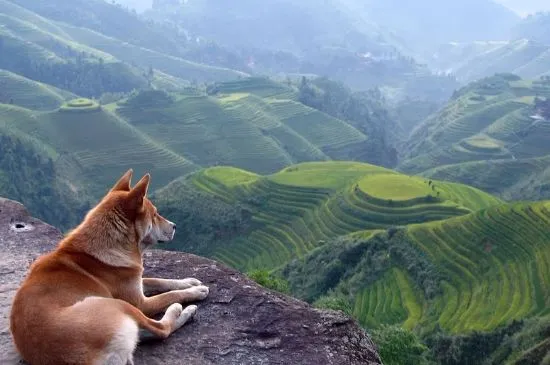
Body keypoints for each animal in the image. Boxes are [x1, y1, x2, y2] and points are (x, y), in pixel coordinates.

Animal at [9, 169, 211, 362]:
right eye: (154, 214)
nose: (175, 226)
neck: (108, 244)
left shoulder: (135, 280)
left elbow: (159, 280)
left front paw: (188, 282)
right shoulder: (140, 302)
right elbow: (169, 294)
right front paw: (195, 291)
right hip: (119, 305)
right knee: (162, 329)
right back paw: (182, 310)